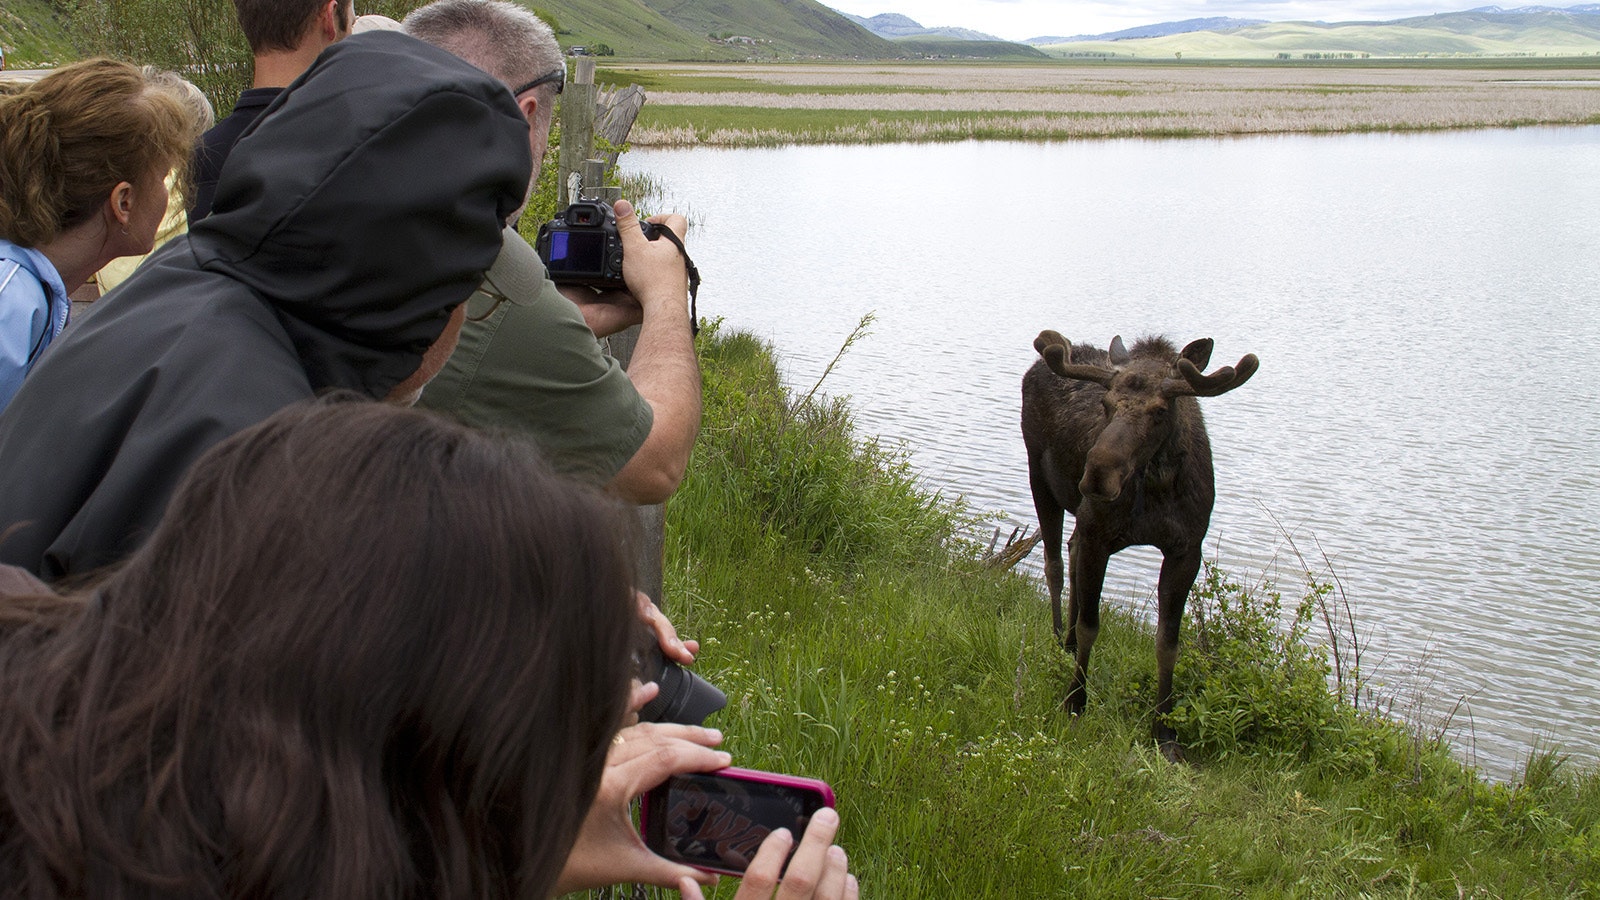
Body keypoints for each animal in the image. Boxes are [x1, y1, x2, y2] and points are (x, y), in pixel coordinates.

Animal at [1024, 329, 1260, 755]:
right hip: (1041, 479)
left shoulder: (1187, 550)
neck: (1156, 488)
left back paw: (1067, 642)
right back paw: (1057, 638)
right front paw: (1075, 700)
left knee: (1070, 548)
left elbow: (1168, 644)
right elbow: (1091, 624)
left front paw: (1164, 729)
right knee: (1054, 564)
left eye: (1160, 411)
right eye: (1105, 403)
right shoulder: (1099, 534)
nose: (1097, 475)